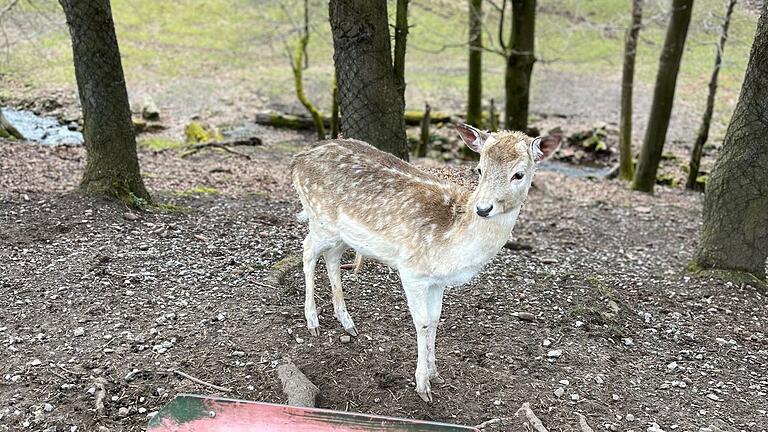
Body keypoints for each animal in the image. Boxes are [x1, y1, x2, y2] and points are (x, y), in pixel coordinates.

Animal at [292, 124, 556, 402]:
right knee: (308, 250)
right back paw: (313, 321)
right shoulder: (412, 271)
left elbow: (436, 319)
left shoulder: (437, 281)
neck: (453, 245)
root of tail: (297, 159)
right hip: (320, 219)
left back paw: (347, 322)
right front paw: (422, 385)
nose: (483, 208)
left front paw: (435, 374)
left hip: (344, 234)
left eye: (519, 174)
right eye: (480, 169)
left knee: (331, 258)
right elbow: (423, 322)